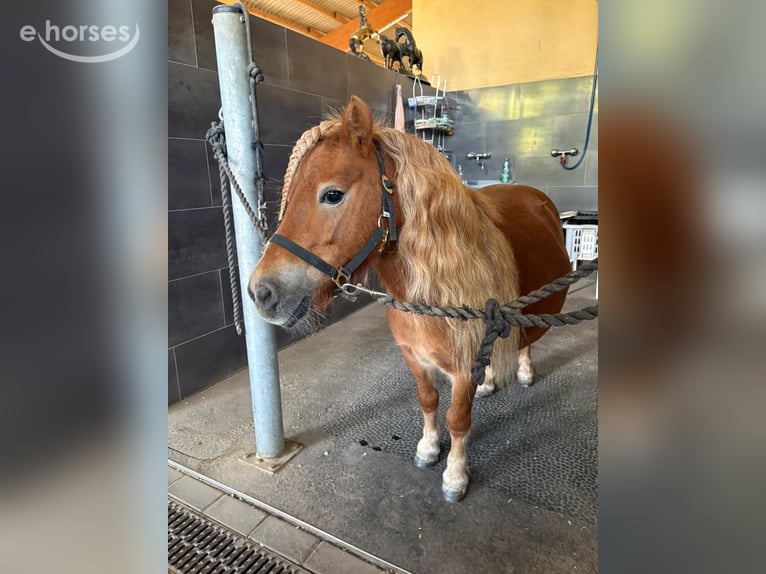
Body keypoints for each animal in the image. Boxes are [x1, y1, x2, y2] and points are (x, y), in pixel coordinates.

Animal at [250, 96, 571, 502]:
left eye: (332, 194)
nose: (260, 292)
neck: (430, 297)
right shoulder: (413, 356)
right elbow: (428, 400)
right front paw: (429, 448)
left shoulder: (462, 366)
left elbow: (457, 419)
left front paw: (455, 476)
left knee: (527, 341)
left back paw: (525, 371)